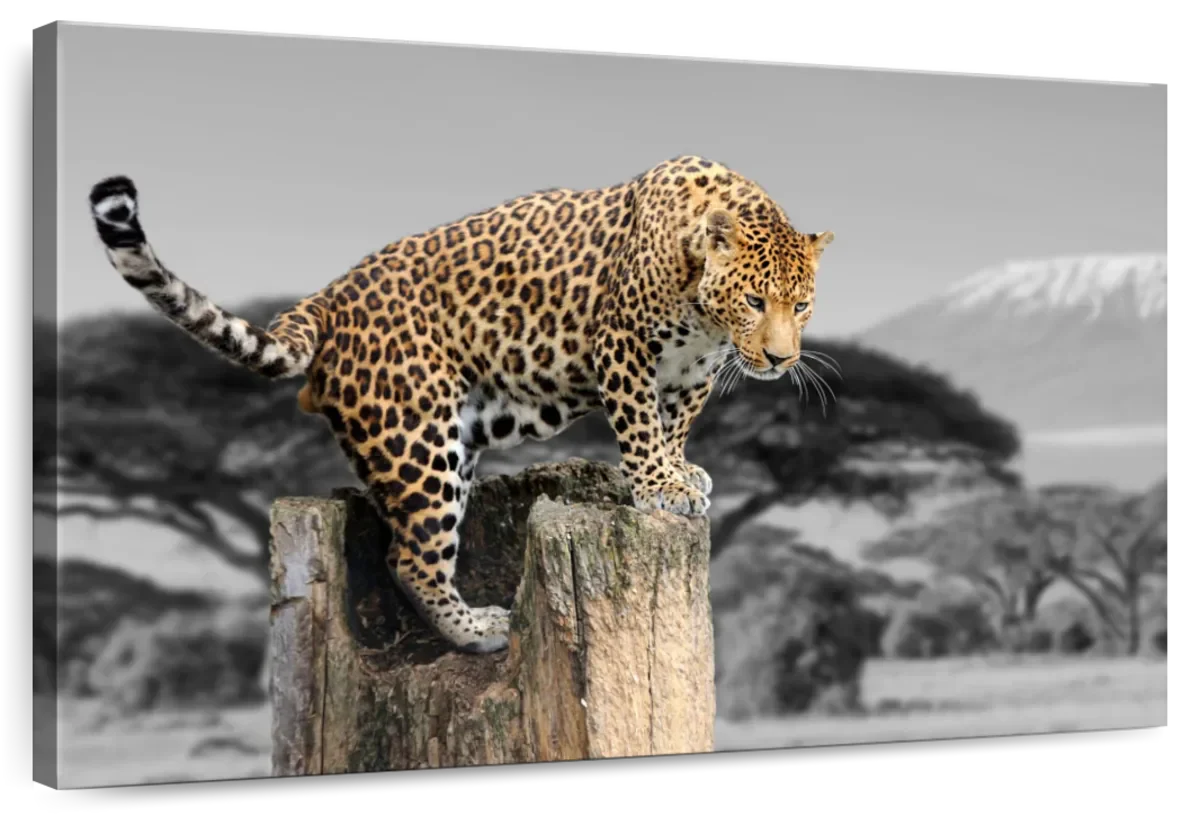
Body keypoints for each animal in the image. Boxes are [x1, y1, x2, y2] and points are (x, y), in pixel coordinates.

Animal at [87, 155, 834, 655]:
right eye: (755, 300)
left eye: (800, 305)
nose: (781, 359)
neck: (706, 315)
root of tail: (328, 296)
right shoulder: (620, 346)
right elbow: (640, 425)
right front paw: (658, 487)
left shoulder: (693, 372)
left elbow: (673, 425)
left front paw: (682, 474)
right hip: (419, 440)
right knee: (409, 557)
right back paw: (478, 631)